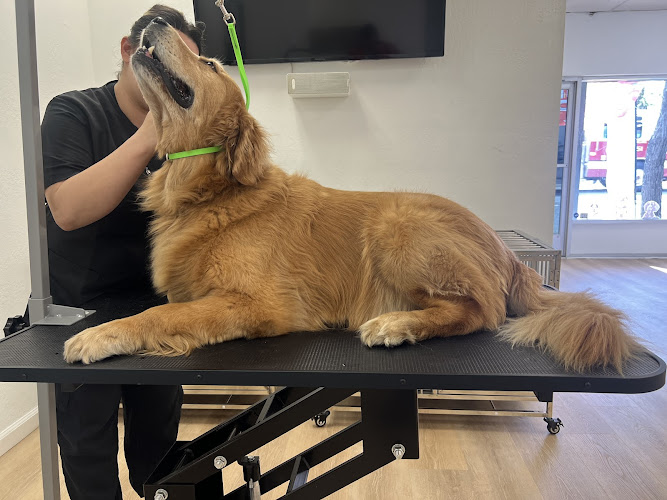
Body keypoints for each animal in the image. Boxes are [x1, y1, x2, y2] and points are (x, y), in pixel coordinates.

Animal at [63, 19, 641, 372]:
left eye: (208, 65)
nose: (154, 24)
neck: (209, 194)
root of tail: (510, 253)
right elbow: (167, 310)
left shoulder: (259, 303)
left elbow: (158, 316)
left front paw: (102, 335)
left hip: (396, 223)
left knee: (482, 311)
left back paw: (396, 324)